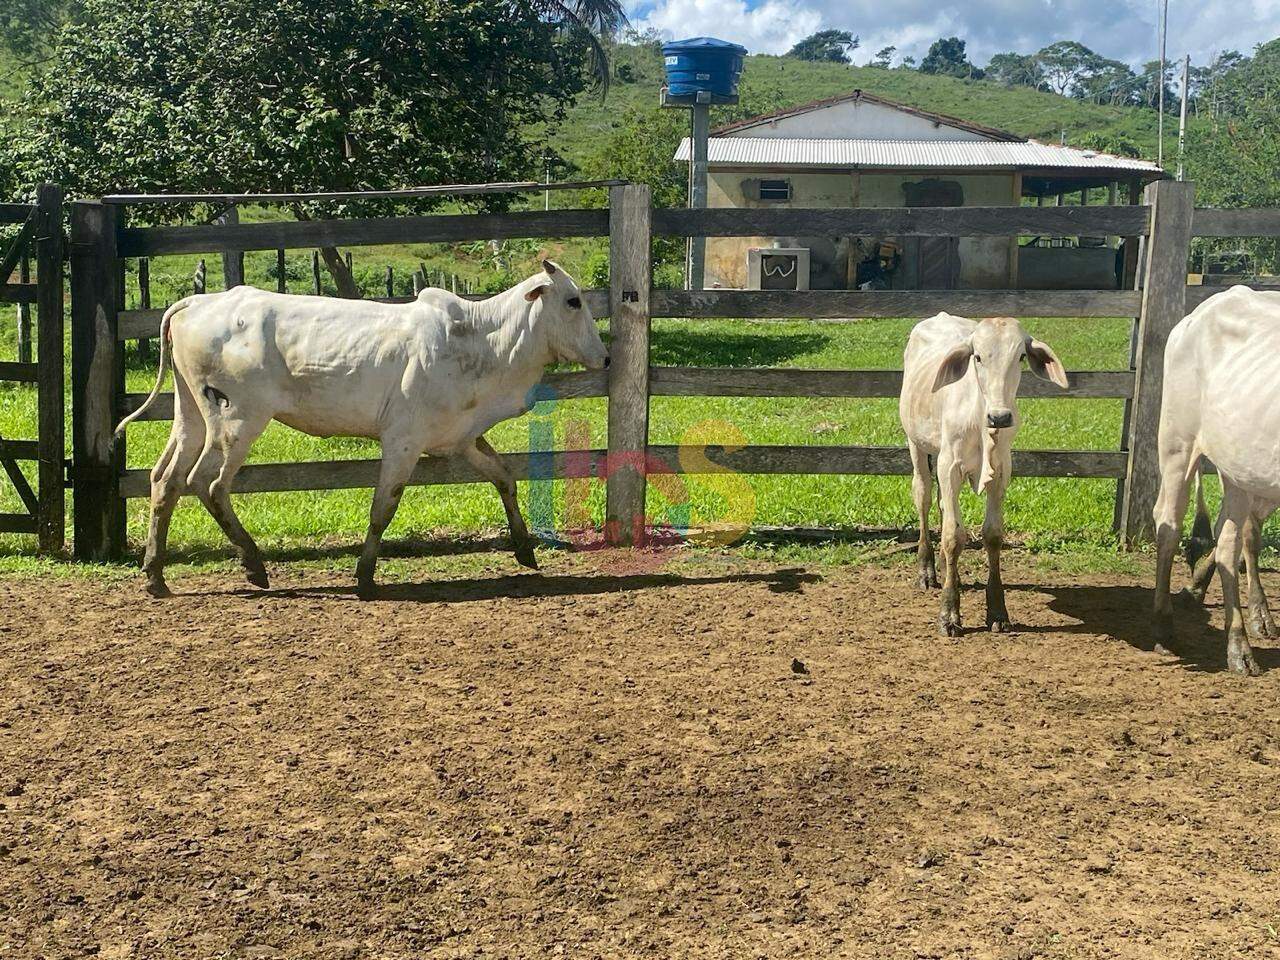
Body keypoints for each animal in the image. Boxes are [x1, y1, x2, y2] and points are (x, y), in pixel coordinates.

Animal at [116, 259, 609, 599]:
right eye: (573, 300)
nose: (605, 358)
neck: (480, 341)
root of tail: (196, 301)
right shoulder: (402, 442)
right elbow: (383, 507)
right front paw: (365, 575)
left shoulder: (463, 438)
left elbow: (504, 477)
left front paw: (525, 548)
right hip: (237, 418)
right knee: (210, 483)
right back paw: (254, 565)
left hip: (190, 415)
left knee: (165, 480)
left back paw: (155, 575)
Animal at [901, 317, 1070, 640]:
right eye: (977, 356)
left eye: (1020, 356)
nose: (1000, 417)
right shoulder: (949, 466)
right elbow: (953, 536)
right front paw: (949, 615)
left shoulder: (1002, 469)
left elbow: (992, 535)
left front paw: (998, 611)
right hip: (917, 444)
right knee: (924, 497)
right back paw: (927, 569)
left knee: (942, 505)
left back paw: (946, 569)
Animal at [1152, 285, 1280, 675]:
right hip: (1177, 441)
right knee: (1169, 524)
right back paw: (1165, 625)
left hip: (1239, 464)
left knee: (1229, 539)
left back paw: (1240, 638)